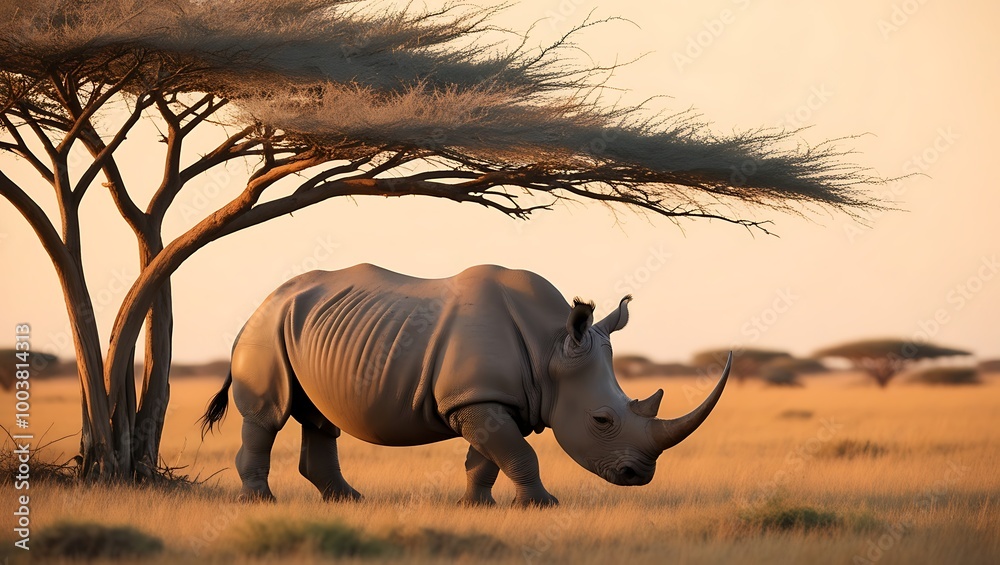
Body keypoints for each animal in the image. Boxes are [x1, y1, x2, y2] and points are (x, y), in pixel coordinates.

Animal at [200, 263, 730, 506]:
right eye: (602, 420)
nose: (638, 476)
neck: (551, 348)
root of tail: (264, 301)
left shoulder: (489, 399)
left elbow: (489, 458)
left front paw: (478, 506)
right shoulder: (477, 399)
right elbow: (519, 453)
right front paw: (542, 505)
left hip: (303, 327)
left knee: (319, 418)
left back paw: (349, 501)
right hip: (267, 330)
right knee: (267, 416)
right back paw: (261, 501)